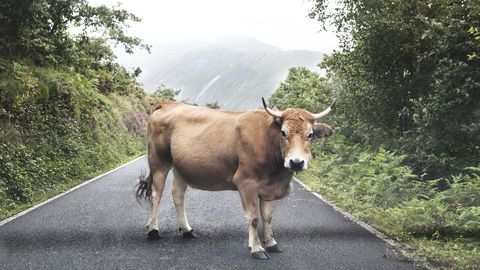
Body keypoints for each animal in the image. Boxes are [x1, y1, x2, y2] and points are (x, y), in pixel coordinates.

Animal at [137, 97, 336, 260]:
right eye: (283, 133)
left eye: (310, 135)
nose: (296, 162)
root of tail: (168, 103)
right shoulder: (246, 182)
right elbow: (254, 217)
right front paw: (257, 248)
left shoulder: (269, 189)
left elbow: (267, 217)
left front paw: (271, 243)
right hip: (159, 161)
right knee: (156, 194)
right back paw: (153, 230)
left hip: (181, 167)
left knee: (178, 195)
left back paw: (187, 230)